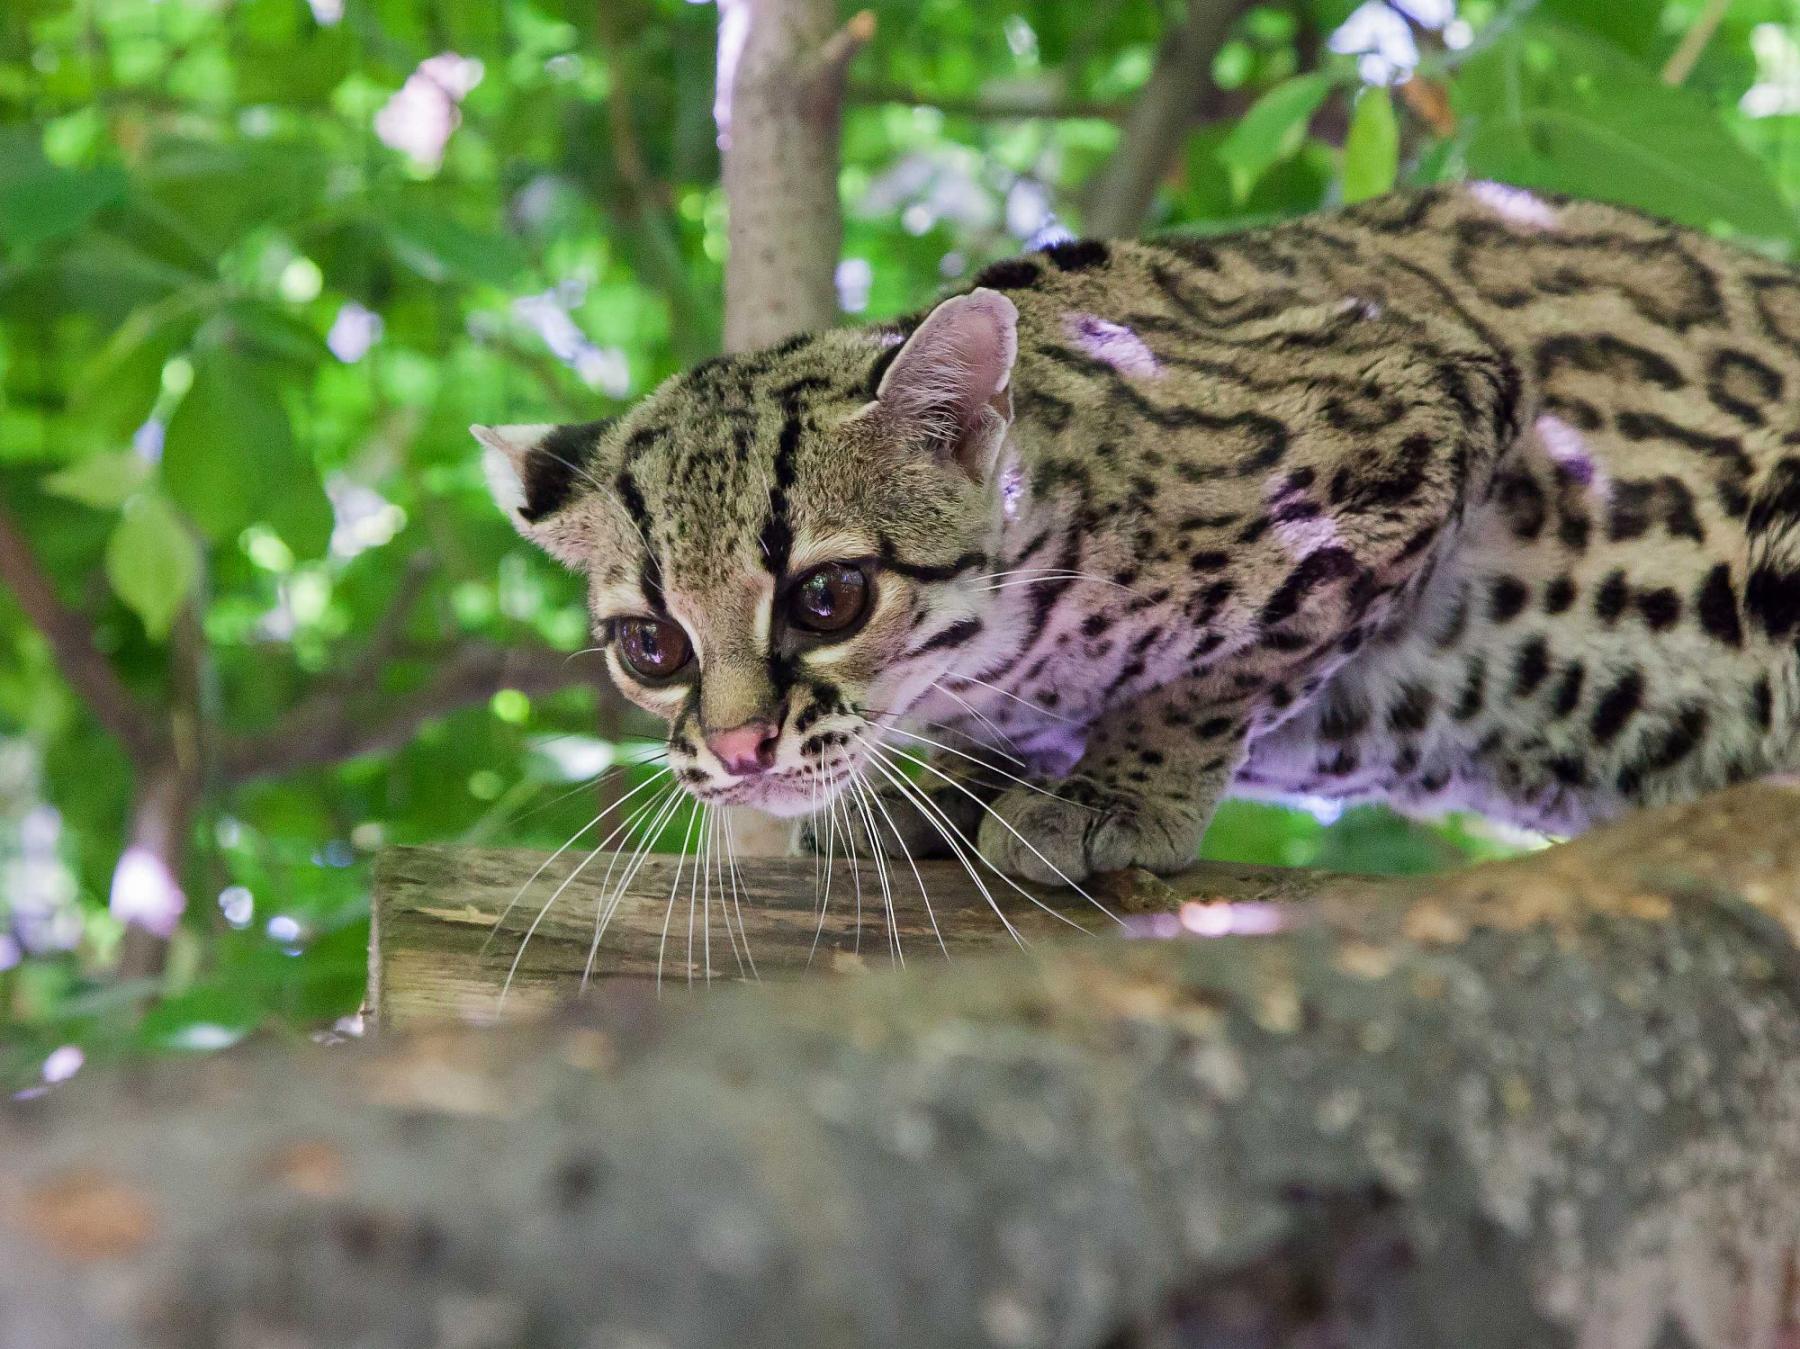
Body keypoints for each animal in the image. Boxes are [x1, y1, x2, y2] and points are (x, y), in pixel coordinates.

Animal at [475, 186, 1800, 882]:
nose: (740, 749)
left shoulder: (1420, 400)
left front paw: (1118, 785)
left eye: (827, 597)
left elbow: (1237, 665)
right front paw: (948, 783)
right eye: (650, 647)